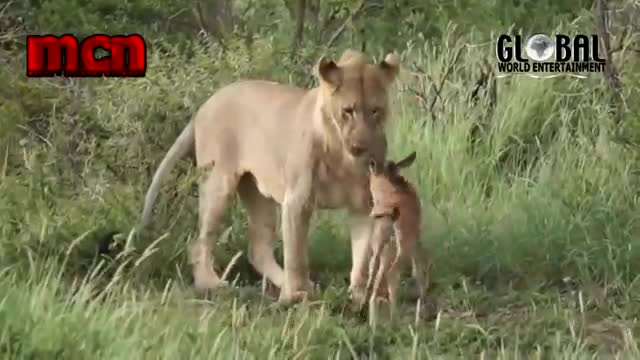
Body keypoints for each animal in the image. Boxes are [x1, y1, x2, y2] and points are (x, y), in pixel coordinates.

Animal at [139, 49, 400, 306]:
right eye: (348, 111)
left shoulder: (364, 205)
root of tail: (206, 103)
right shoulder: (297, 201)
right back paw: (213, 284)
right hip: (218, 184)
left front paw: (358, 298)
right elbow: (296, 255)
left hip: (258, 194)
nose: (360, 147)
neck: (343, 157)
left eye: (375, 111)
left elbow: (363, 258)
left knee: (258, 249)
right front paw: (297, 296)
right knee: (200, 243)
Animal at [362, 150, 432, 324]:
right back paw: (395, 319)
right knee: (392, 273)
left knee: (372, 273)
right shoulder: (415, 239)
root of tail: (390, 211)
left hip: (380, 246)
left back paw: (369, 317)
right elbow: (418, 268)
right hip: (402, 246)